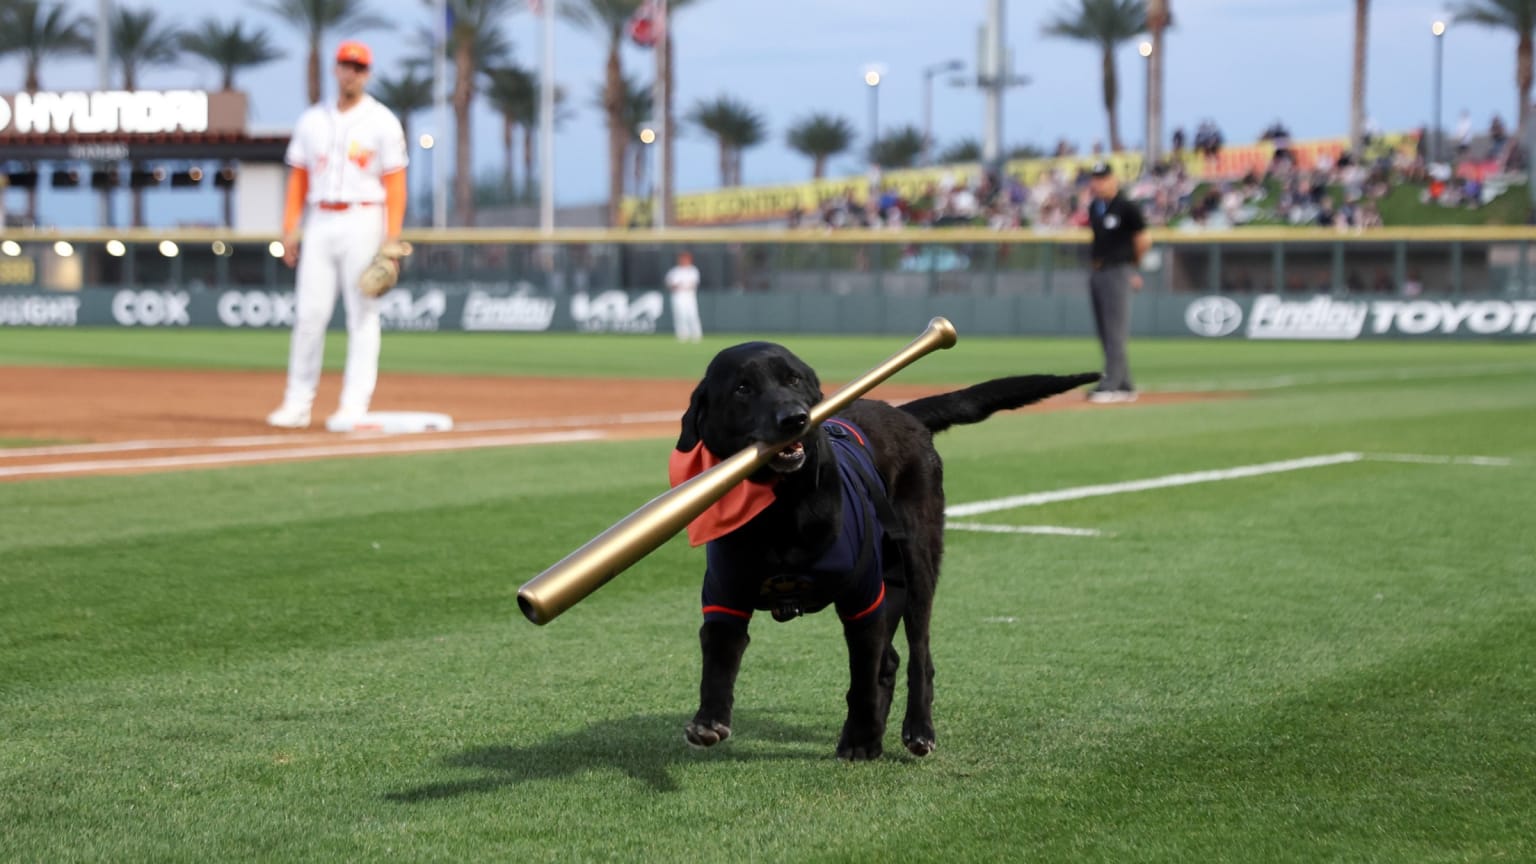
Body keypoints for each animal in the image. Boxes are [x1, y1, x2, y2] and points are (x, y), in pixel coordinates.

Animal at [669, 339, 1093, 756]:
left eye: (794, 380)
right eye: (742, 389)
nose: (795, 418)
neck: (782, 510)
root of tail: (903, 413)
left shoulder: (863, 600)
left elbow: (863, 679)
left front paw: (861, 737)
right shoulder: (725, 598)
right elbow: (718, 661)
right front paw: (709, 719)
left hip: (918, 566)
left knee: (918, 655)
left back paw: (914, 729)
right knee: (890, 662)